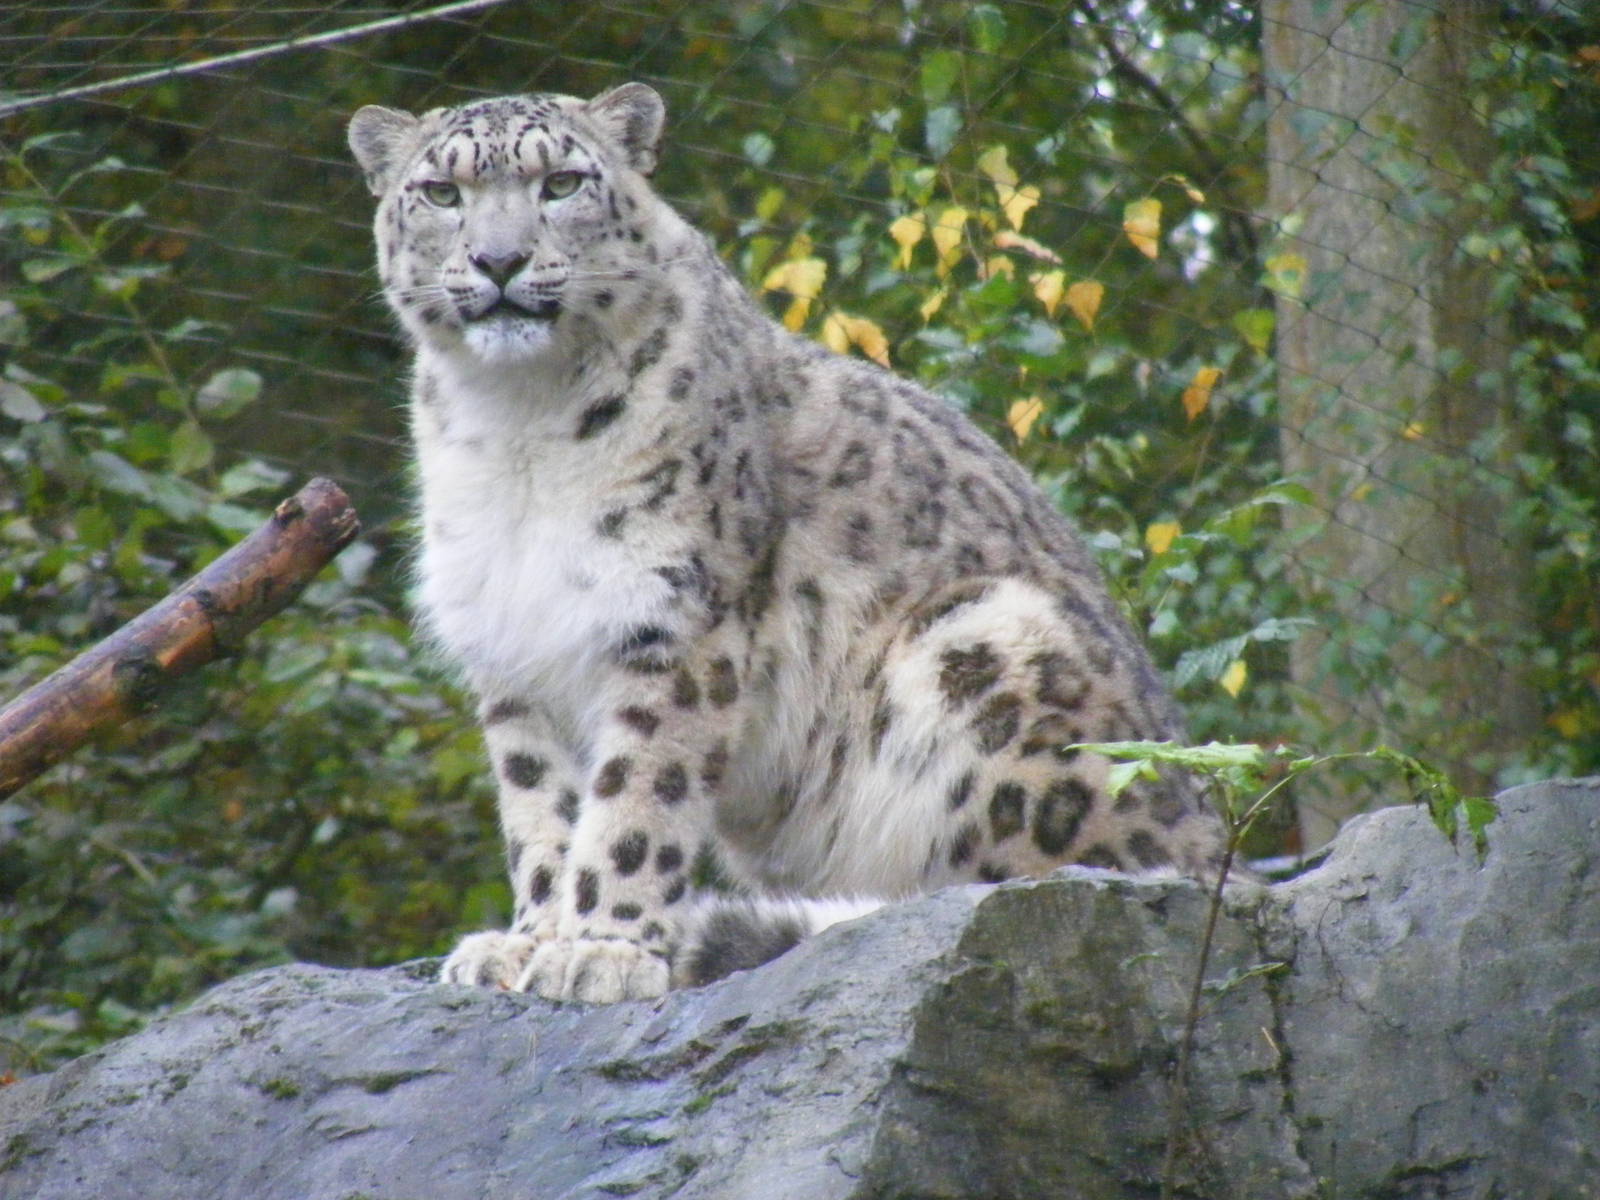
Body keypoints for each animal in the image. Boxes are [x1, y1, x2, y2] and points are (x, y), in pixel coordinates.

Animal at [347, 82, 1224, 1004]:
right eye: (441, 193)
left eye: (562, 183)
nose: (500, 261)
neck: (518, 422)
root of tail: (1214, 850)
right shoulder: (511, 645)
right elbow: (536, 807)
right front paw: (528, 941)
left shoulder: (676, 616)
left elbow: (638, 793)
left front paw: (604, 948)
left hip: (991, 643)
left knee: (1037, 887)